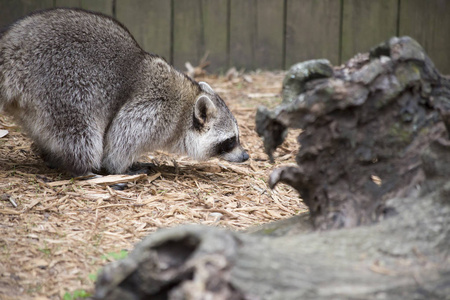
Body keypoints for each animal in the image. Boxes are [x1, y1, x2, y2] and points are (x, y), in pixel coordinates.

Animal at [0, 8, 248, 176]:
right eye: (230, 141)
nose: (245, 155)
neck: (186, 106)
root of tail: (11, 52)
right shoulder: (153, 110)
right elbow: (120, 138)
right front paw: (118, 167)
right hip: (62, 85)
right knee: (81, 132)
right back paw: (85, 170)